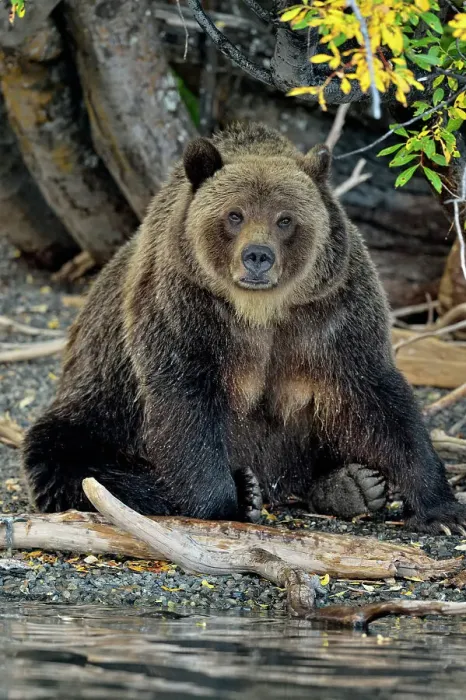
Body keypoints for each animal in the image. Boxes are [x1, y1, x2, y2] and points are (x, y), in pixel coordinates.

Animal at [23, 122, 466, 534]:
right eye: (234, 215)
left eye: (285, 219)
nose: (257, 256)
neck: (260, 311)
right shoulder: (183, 309)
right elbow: (185, 407)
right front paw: (232, 499)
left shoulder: (332, 313)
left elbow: (379, 398)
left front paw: (442, 509)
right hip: (100, 403)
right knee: (69, 460)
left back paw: (356, 483)